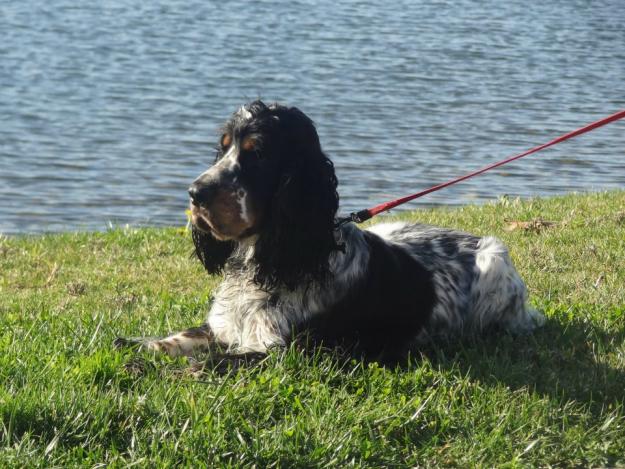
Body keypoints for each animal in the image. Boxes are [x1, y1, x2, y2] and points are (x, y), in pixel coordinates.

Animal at [114, 99, 544, 362]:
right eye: (223, 149)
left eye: (258, 154)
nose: (195, 192)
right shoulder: (223, 326)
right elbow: (174, 339)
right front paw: (132, 346)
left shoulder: (286, 352)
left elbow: (213, 363)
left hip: (494, 263)